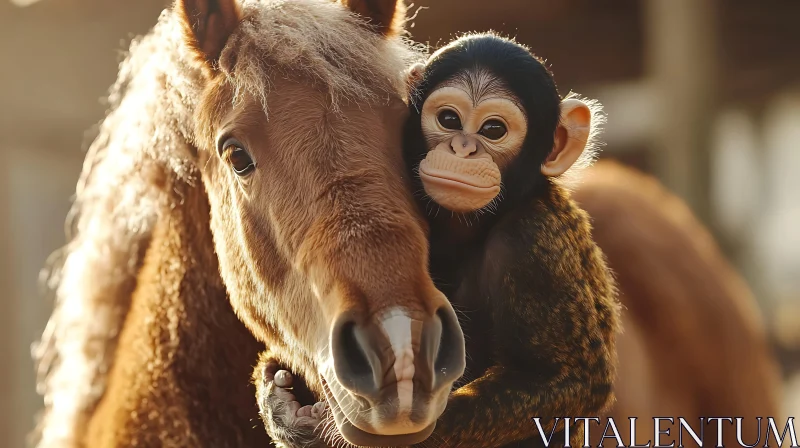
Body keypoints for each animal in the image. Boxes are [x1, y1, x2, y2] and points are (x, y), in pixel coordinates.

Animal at [255, 32, 620, 448]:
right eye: (449, 120)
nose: (462, 147)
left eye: (493, 130)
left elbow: (563, 379)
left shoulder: (534, 239)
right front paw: (280, 403)